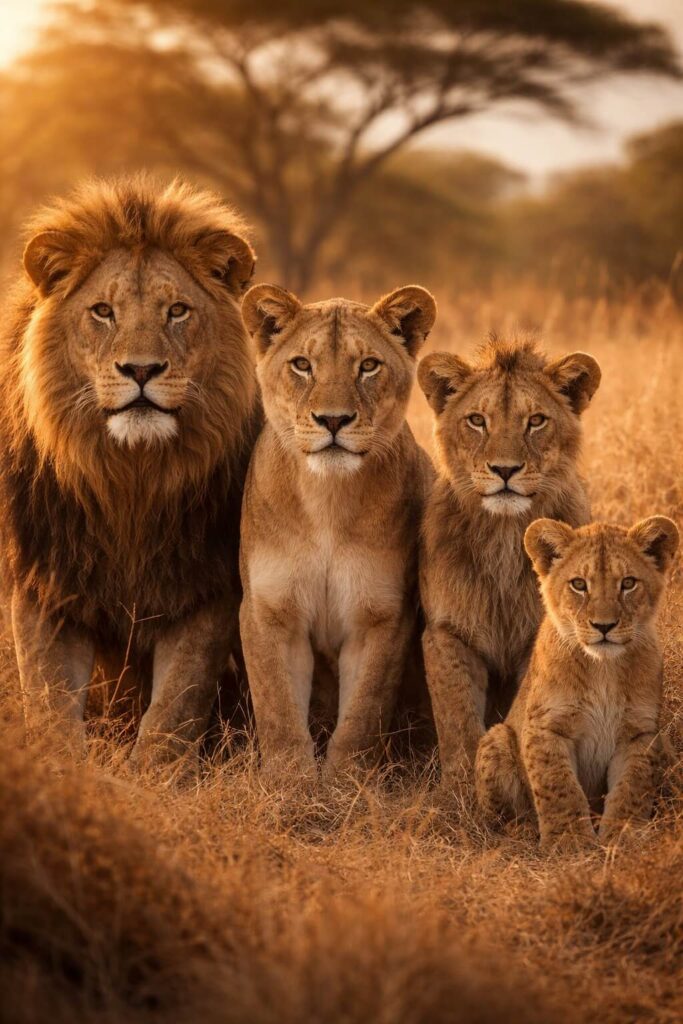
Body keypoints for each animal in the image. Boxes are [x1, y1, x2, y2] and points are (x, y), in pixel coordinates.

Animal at [0, 175, 259, 767]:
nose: (141, 370)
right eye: (102, 311)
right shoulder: (44, 585)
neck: (129, 483)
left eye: (178, 311)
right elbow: (49, 706)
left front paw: (153, 778)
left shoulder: (206, 590)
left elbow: (172, 714)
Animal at [239, 283, 436, 776]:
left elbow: (363, 714)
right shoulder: (269, 611)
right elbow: (277, 708)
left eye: (367, 366)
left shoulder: (381, 617)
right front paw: (289, 783)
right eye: (302, 365)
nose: (332, 420)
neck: (327, 501)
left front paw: (347, 782)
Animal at [417, 338, 601, 794]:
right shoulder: (447, 633)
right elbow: (457, 717)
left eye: (535, 421)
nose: (504, 470)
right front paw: (462, 791)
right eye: (476, 421)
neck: (503, 536)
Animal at [475, 516, 679, 851]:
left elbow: (631, 791)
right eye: (579, 585)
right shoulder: (546, 727)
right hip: (497, 738)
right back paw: (523, 831)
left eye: (628, 583)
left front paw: (623, 840)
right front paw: (569, 844)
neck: (604, 668)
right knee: (501, 819)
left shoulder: (640, 732)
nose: (604, 626)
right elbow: (559, 789)